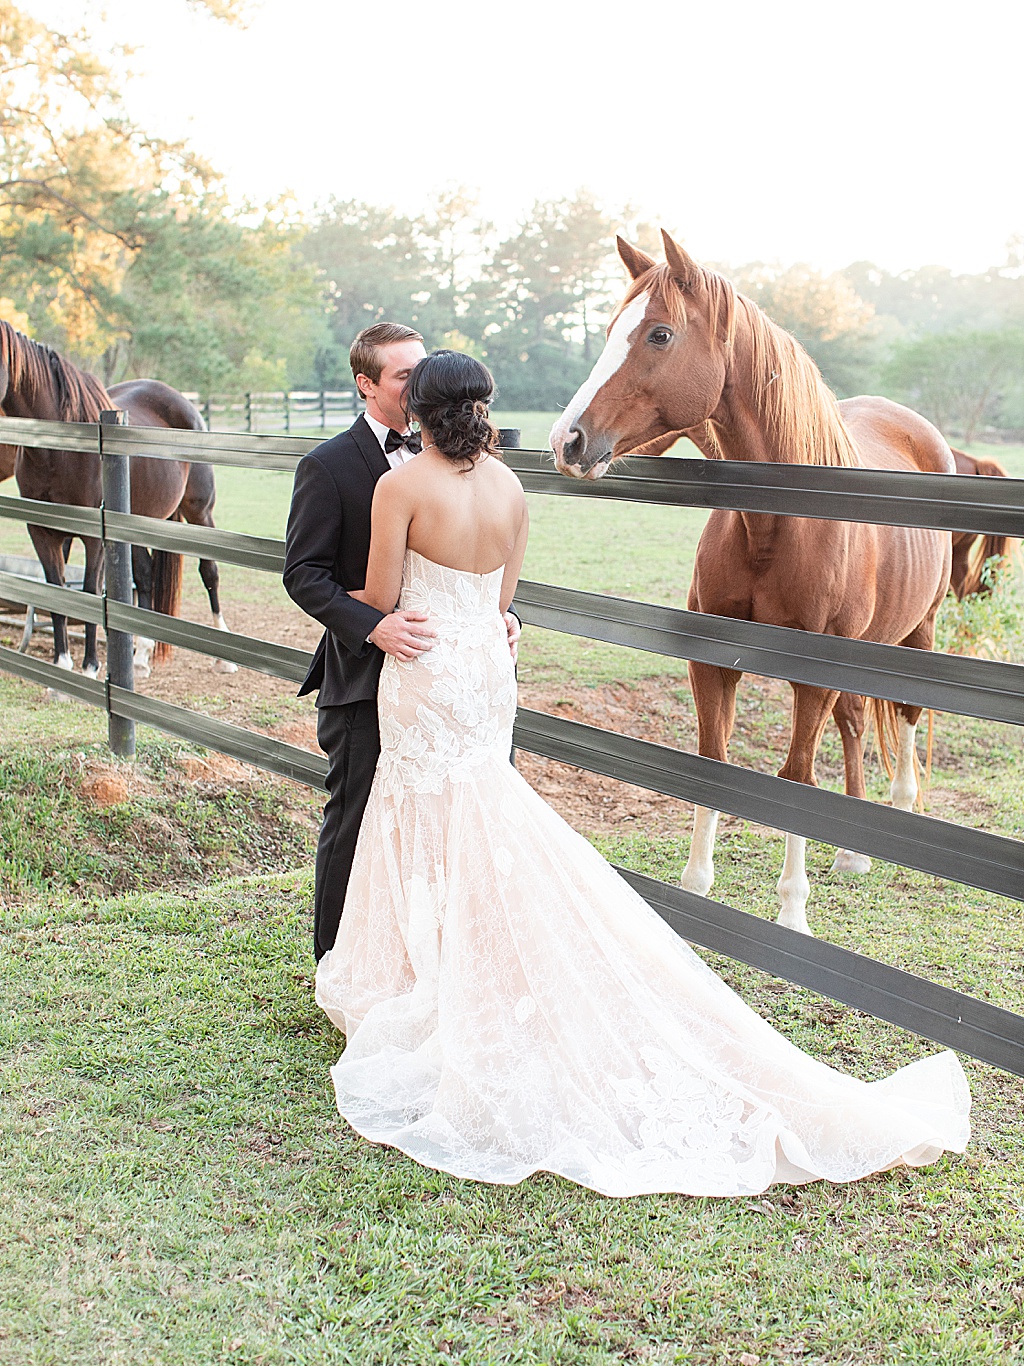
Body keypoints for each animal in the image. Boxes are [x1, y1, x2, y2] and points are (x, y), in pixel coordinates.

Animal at [0, 321, 234, 683]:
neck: (59, 447)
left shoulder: (95, 537)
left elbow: (87, 593)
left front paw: (89, 667)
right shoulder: (43, 531)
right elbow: (57, 592)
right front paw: (62, 670)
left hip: (199, 512)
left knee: (209, 571)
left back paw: (223, 655)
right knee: (147, 577)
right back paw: (141, 657)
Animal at [548, 232, 961, 939]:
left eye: (659, 334)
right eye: (607, 331)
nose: (566, 440)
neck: (777, 521)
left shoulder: (811, 674)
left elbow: (795, 775)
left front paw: (792, 910)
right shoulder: (712, 662)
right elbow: (711, 764)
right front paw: (696, 889)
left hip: (917, 631)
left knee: (903, 716)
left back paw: (899, 806)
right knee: (855, 722)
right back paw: (852, 850)